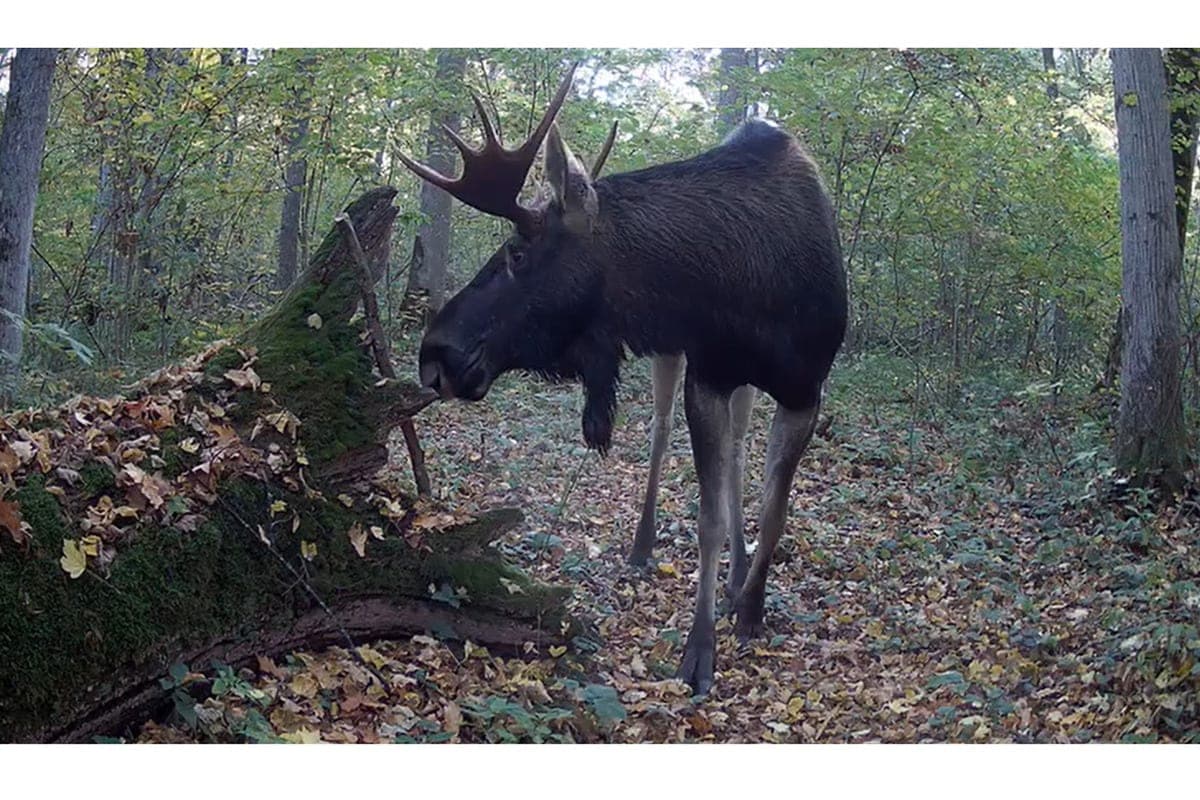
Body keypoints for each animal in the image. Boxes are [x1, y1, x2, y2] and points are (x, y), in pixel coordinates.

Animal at [398, 65, 847, 694]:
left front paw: (751, 608)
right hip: (675, 356)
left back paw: (738, 574)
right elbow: (707, 517)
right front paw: (699, 649)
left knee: (739, 447)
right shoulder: (707, 373)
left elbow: (775, 508)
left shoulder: (807, 388)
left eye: (516, 252)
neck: (753, 295)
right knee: (663, 431)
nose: (435, 353)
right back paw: (645, 544)